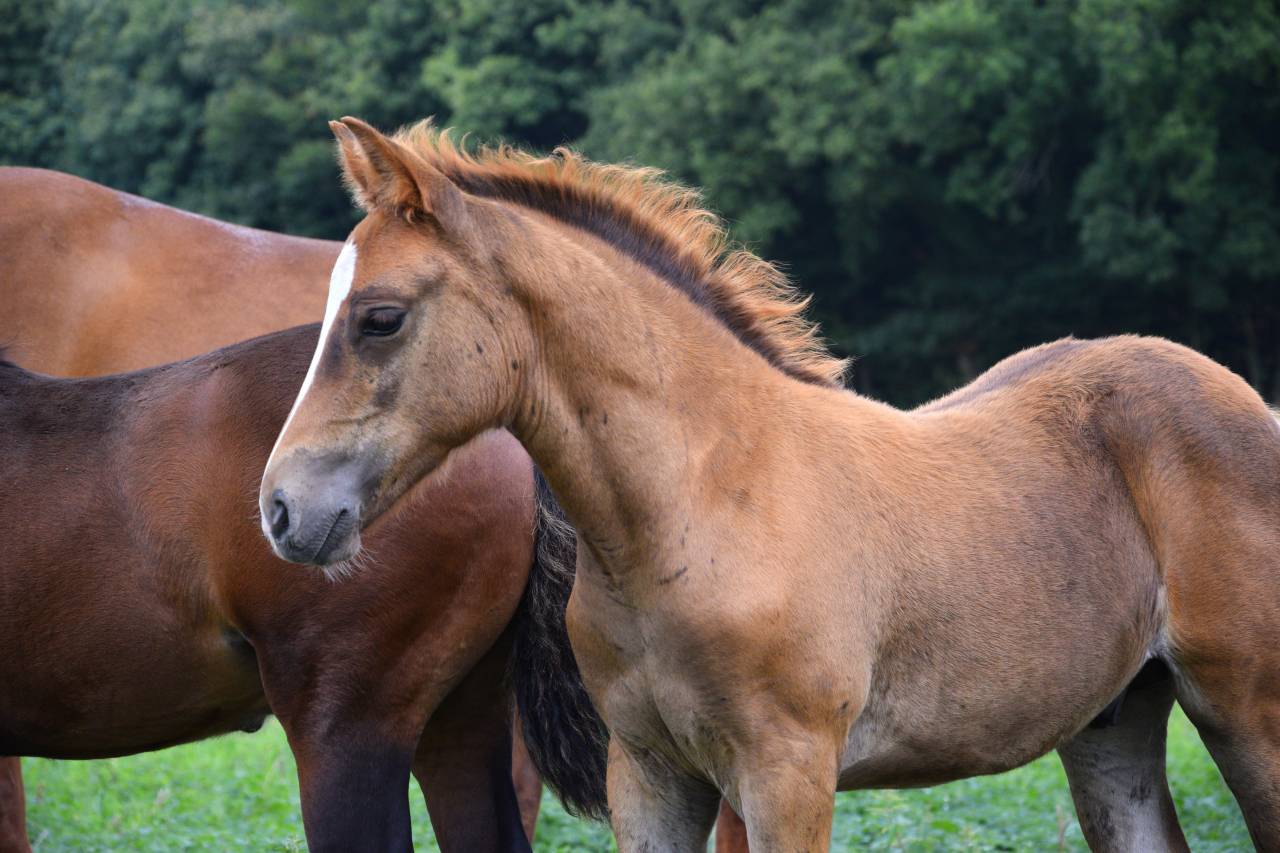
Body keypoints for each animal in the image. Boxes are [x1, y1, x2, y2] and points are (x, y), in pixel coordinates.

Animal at [260, 116, 1280, 851]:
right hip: (1113, 721)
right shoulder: (651, 774)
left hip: (1247, 712)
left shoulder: (789, 772)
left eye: (379, 318)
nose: (280, 509)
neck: (698, 505)